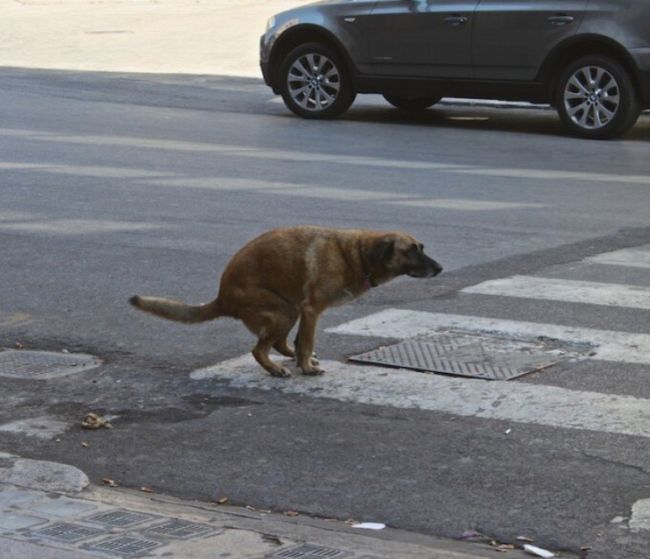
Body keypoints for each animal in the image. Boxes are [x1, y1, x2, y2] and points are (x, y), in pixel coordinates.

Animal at [128, 225, 440, 378]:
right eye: (411, 251)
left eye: (422, 248)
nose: (440, 269)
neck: (356, 255)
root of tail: (222, 298)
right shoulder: (312, 309)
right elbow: (307, 342)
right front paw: (307, 369)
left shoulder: (307, 311)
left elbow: (304, 342)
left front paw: (304, 361)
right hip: (282, 311)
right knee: (259, 349)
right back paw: (275, 368)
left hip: (290, 308)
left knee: (278, 343)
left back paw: (286, 358)